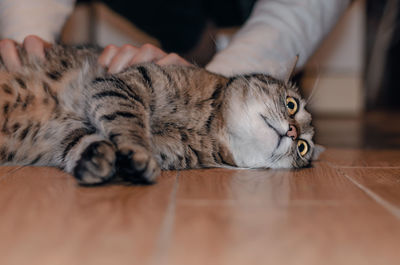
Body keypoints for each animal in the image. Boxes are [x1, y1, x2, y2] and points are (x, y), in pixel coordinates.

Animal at [0, 45, 322, 185]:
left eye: (302, 148)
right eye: (291, 105)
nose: (293, 132)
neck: (207, 128)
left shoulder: (71, 131)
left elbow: (79, 144)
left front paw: (98, 161)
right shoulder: (124, 83)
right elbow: (129, 120)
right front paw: (137, 151)